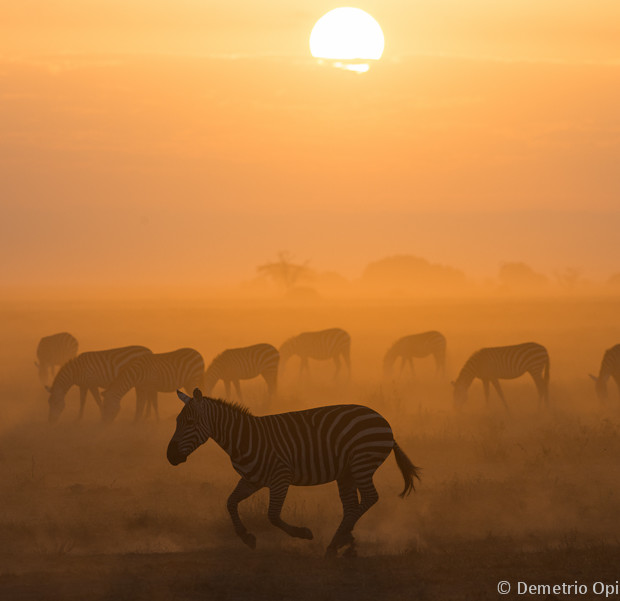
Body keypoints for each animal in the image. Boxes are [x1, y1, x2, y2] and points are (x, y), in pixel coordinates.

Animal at [167, 386, 418, 556]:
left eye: (190, 423)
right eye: (177, 421)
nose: (170, 456)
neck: (244, 439)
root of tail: (382, 419)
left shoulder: (280, 477)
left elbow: (272, 515)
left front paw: (303, 533)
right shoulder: (251, 480)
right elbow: (230, 502)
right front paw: (246, 537)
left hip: (361, 463)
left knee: (369, 498)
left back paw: (339, 542)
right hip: (346, 472)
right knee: (351, 506)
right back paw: (342, 543)